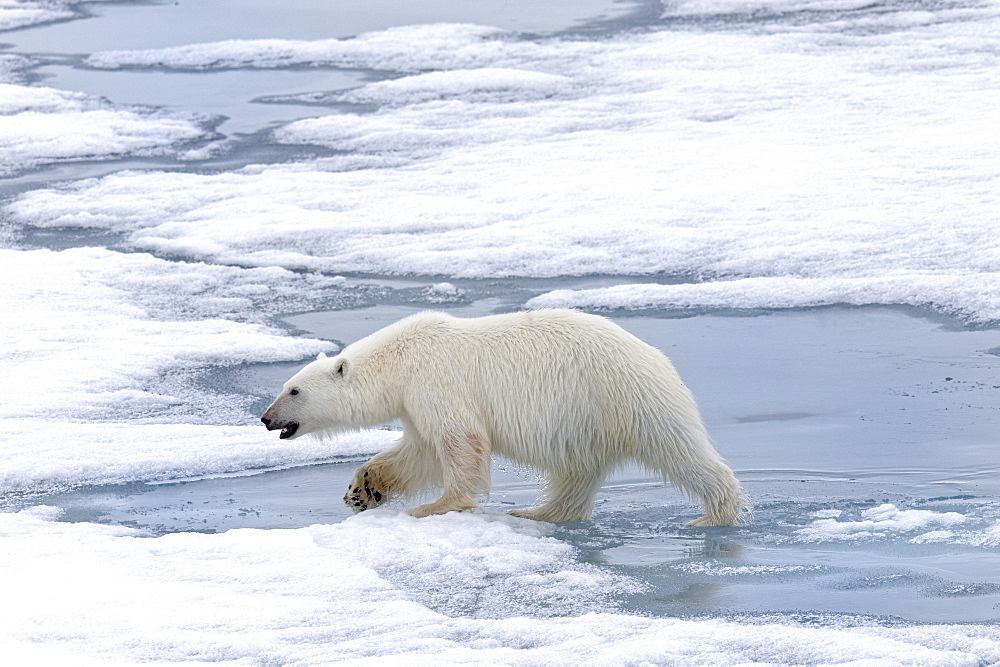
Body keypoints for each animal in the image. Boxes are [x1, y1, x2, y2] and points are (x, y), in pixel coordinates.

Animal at [262, 310, 748, 528]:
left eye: (294, 390)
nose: (266, 418)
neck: (399, 359)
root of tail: (659, 359)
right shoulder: (415, 403)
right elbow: (418, 453)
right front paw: (362, 491)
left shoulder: (436, 381)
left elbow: (460, 442)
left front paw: (435, 506)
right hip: (588, 420)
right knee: (578, 472)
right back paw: (537, 512)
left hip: (626, 398)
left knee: (680, 451)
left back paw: (716, 514)